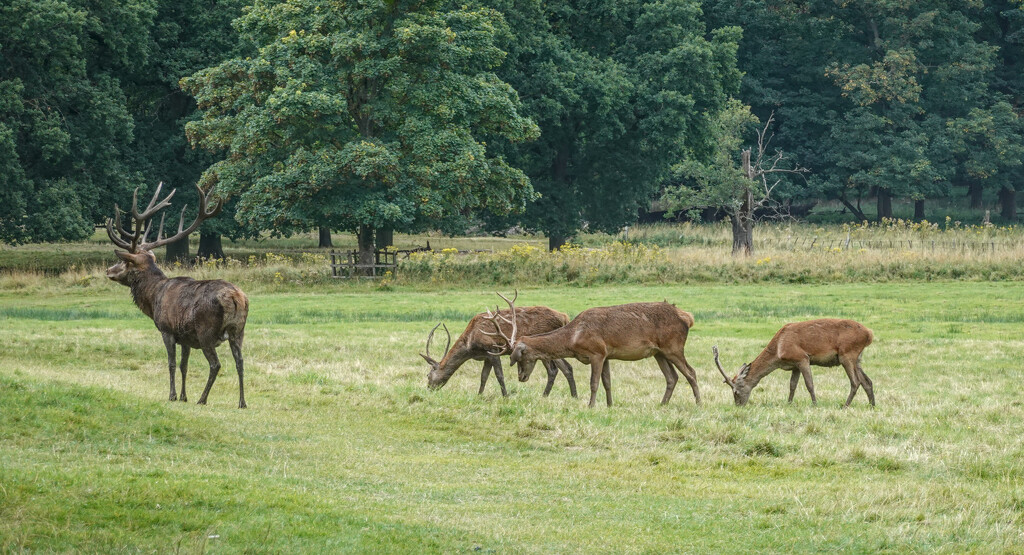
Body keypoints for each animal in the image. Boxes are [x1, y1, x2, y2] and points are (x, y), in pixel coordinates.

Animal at [104, 182, 249, 409]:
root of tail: (235, 298)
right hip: (238, 330)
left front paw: (172, 395)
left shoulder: (167, 329)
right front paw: (183, 396)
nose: (108, 270)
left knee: (216, 364)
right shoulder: (186, 337)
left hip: (206, 330)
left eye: (125, 261)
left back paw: (202, 399)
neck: (153, 297)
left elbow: (171, 364)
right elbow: (184, 365)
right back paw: (242, 402)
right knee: (240, 362)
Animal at [417, 307, 577, 397]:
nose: (429, 389)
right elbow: (483, 376)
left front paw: (505, 396)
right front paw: (479, 395)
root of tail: (565, 317)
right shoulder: (486, 356)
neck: (470, 345)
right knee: (567, 367)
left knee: (553, 370)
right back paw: (573, 396)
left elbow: (499, 375)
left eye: (428, 375)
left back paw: (545, 395)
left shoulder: (492, 348)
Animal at [483, 292, 700, 407]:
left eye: (520, 357)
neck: (574, 338)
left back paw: (699, 404)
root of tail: (688, 317)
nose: (521, 377)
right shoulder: (607, 355)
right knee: (672, 377)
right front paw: (610, 405)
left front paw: (591, 405)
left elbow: (594, 383)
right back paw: (662, 404)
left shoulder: (597, 352)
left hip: (673, 347)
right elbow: (607, 383)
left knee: (691, 372)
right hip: (658, 352)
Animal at [716, 317, 876, 409]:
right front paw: (788, 404)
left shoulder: (802, 358)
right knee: (867, 381)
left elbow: (809, 384)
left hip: (847, 354)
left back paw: (845, 406)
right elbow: (792, 385)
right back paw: (872, 405)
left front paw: (815, 405)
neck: (778, 351)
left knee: (856, 381)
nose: (738, 406)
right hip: (857, 358)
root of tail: (869, 334)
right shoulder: (794, 365)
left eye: (736, 391)